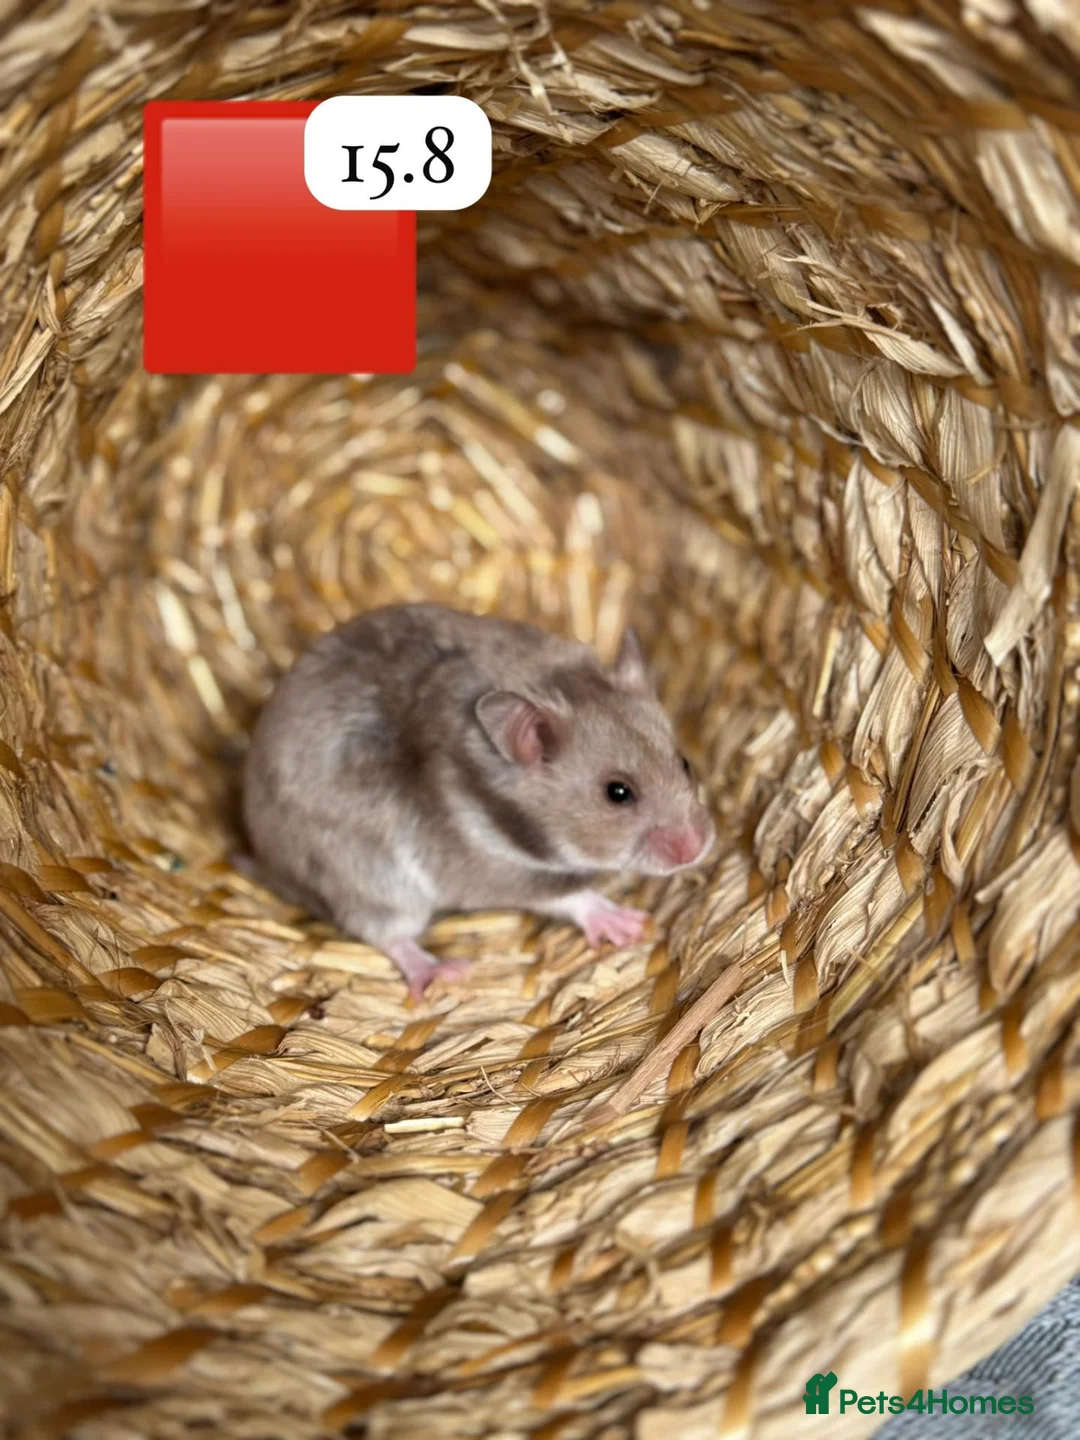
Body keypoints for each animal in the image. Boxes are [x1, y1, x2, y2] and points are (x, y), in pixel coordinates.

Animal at [240, 603, 715, 999]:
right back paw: (444, 972)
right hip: (371, 879)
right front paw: (631, 926)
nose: (696, 850)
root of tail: (263, 854)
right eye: (618, 793)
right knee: (386, 933)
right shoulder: (491, 869)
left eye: (685, 762)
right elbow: (569, 894)